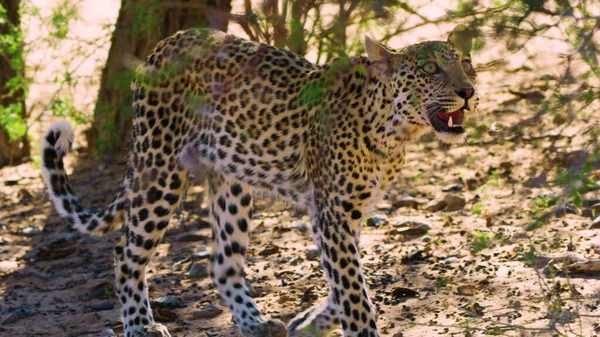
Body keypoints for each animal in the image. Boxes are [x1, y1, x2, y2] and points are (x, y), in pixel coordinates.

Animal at [41, 24, 478, 336]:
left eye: (466, 62)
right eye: (429, 69)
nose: (469, 91)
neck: (394, 128)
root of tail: (163, 44)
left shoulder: (345, 215)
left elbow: (343, 281)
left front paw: (312, 321)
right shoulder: (332, 214)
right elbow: (353, 291)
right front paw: (355, 326)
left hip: (232, 184)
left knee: (222, 262)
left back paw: (255, 322)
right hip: (159, 170)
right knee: (125, 252)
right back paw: (140, 325)